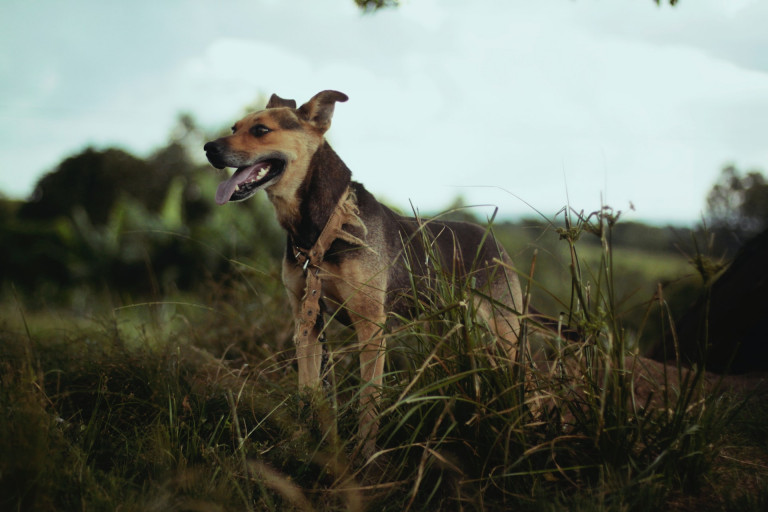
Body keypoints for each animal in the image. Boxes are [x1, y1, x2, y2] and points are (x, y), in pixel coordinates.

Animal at [204, 90, 524, 454]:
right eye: (234, 127)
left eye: (260, 130)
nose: (209, 148)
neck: (323, 226)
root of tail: (494, 242)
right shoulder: (307, 321)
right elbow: (307, 390)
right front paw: (307, 442)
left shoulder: (370, 326)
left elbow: (369, 400)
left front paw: (365, 454)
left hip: (504, 333)